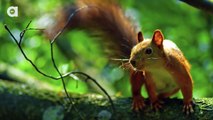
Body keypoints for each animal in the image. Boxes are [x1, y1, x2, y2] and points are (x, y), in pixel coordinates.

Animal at [45, 0, 194, 113]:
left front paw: (187, 103)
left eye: (149, 51)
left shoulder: (178, 68)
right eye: (132, 49)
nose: (132, 61)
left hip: (172, 87)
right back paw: (138, 99)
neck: (157, 68)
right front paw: (154, 101)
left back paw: (163, 97)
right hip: (137, 74)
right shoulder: (148, 76)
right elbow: (150, 90)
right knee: (136, 88)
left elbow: (187, 85)